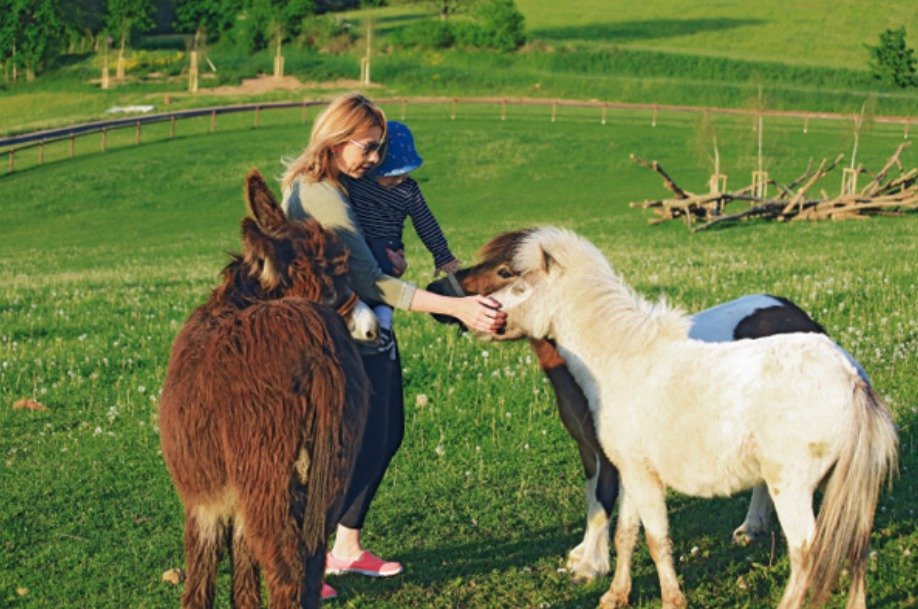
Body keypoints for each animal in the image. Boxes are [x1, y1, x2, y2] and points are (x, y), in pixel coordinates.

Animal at [464, 227, 896, 608]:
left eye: (514, 282)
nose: (479, 319)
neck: (624, 359)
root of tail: (852, 379)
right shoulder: (634, 473)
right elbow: (627, 534)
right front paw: (615, 596)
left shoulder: (638, 476)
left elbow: (656, 540)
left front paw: (671, 600)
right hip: (843, 487)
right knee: (855, 546)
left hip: (791, 487)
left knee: (806, 552)